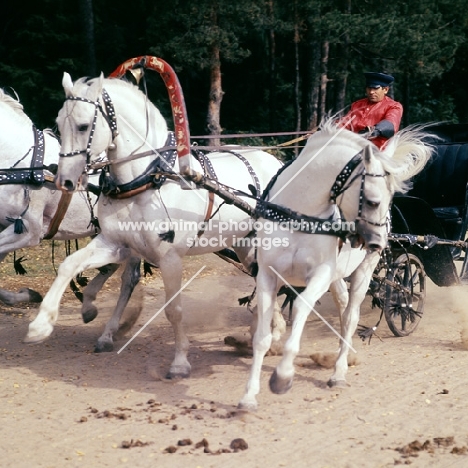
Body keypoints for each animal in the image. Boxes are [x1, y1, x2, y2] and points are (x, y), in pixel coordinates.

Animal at [24, 72, 282, 376]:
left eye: (84, 125)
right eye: (59, 124)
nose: (62, 180)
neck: (144, 180)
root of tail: (275, 161)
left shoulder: (169, 257)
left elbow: (174, 310)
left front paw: (180, 361)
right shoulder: (116, 244)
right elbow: (70, 264)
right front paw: (41, 325)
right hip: (245, 244)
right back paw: (272, 332)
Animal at [239, 119, 434, 410]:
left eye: (388, 200)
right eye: (373, 201)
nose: (379, 243)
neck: (298, 216)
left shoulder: (320, 275)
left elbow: (301, 307)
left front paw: (283, 375)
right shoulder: (267, 275)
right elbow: (261, 336)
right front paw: (250, 395)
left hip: (364, 270)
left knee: (352, 315)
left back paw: (339, 371)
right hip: (338, 276)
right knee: (343, 309)